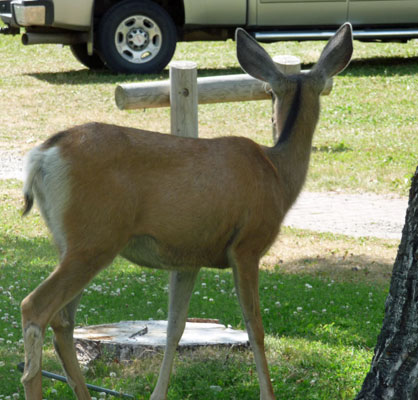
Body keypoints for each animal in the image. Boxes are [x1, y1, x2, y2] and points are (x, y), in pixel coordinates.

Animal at [20, 23, 352, 398]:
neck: (278, 174)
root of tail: (42, 156)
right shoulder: (246, 246)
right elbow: (256, 327)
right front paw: (268, 393)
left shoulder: (188, 257)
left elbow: (174, 328)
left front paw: (157, 393)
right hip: (95, 238)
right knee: (36, 308)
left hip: (72, 241)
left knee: (63, 321)